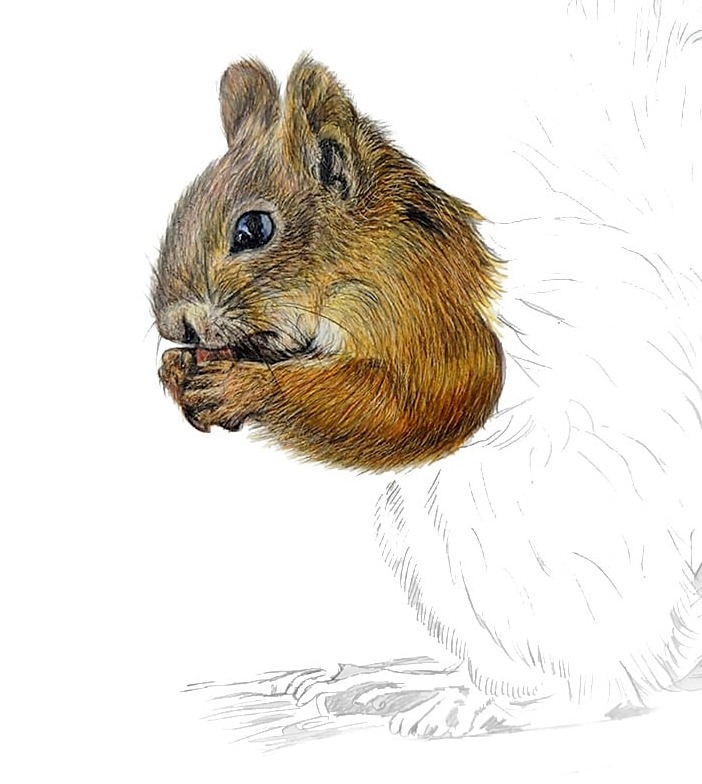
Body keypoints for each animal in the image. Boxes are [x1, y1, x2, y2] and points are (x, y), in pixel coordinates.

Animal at [153, 3, 702, 738]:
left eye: (253, 229)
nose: (173, 323)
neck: (363, 254)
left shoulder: (434, 317)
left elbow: (420, 405)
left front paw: (241, 385)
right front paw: (178, 372)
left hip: (518, 544)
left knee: (601, 685)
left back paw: (468, 704)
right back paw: (390, 683)